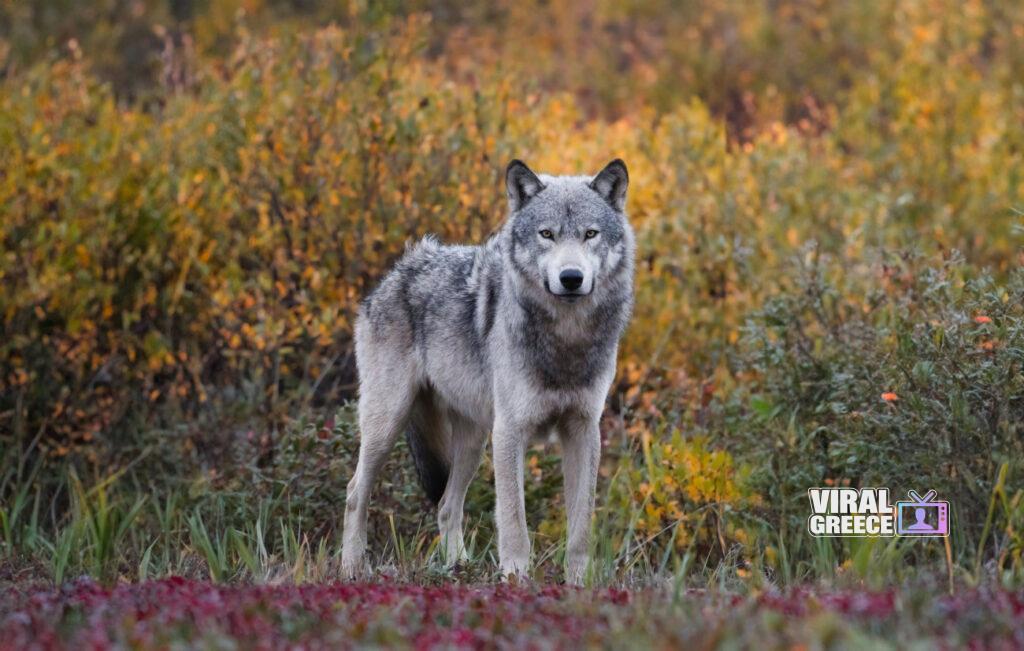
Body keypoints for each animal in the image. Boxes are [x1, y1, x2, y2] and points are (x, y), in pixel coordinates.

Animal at [341, 159, 634, 584]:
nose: (571, 278)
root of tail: (398, 270)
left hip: (474, 442)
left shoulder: (583, 430)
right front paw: (515, 579)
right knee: (354, 493)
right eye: (547, 234)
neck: (566, 339)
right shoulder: (510, 431)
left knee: (446, 505)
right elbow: (514, 520)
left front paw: (579, 583)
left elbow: (581, 524)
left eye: (590, 234)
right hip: (388, 424)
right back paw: (351, 568)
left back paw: (457, 566)